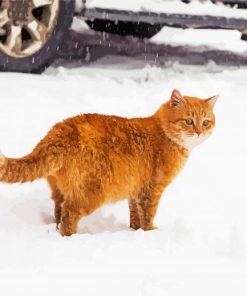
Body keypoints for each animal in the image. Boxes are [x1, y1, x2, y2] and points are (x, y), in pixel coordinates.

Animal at [0, 89, 218, 236]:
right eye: (189, 121)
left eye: (206, 122)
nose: (200, 131)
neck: (164, 132)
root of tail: (59, 132)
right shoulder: (152, 188)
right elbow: (148, 214)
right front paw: (150, 233)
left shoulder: (135, 190)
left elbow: (135, 214)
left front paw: (135, 231)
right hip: (91, 193)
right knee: (69, 213)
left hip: (61, 190)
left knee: (59, 211)